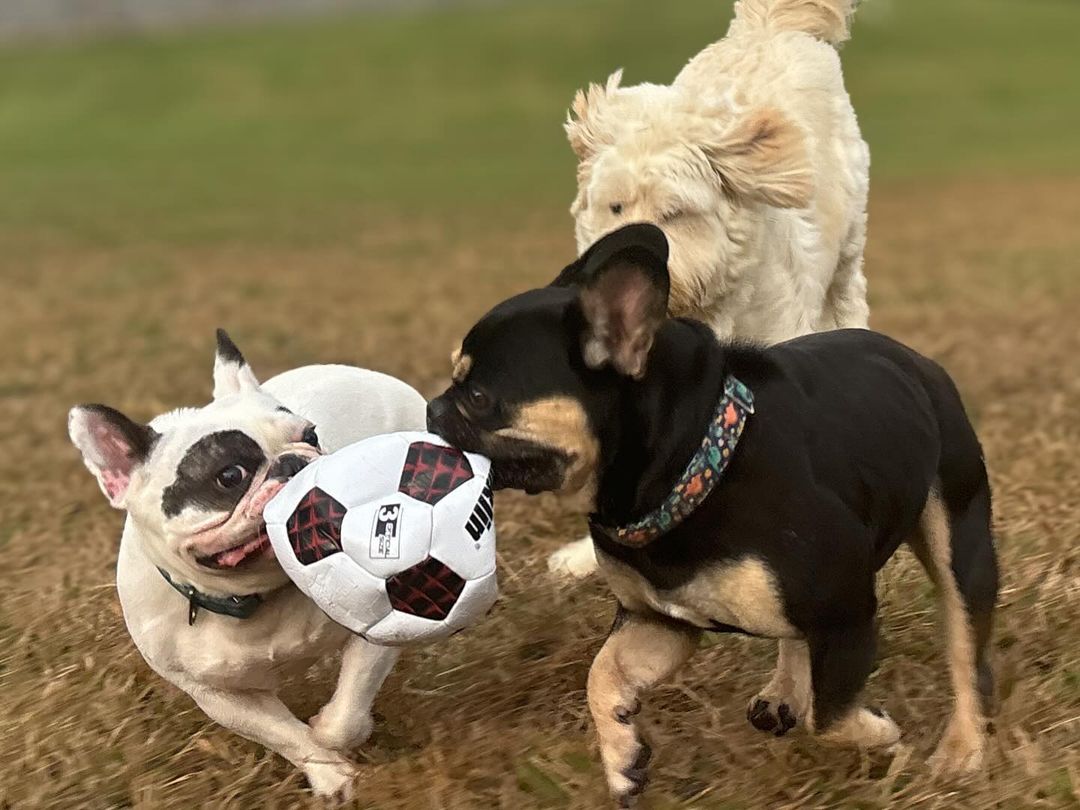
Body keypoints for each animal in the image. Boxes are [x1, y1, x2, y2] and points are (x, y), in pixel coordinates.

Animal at [425, 220, 997, 807]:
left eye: (478, 396)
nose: (433, 407)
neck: (695, 461)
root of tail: (917, 362)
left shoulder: (847, 614)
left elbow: (831, 716)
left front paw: (880, 733)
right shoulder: (659, 622)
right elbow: (602, 673)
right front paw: (623, 758)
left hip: (959, 544)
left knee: (965, 651)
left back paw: (962, 752)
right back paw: (785, 690)